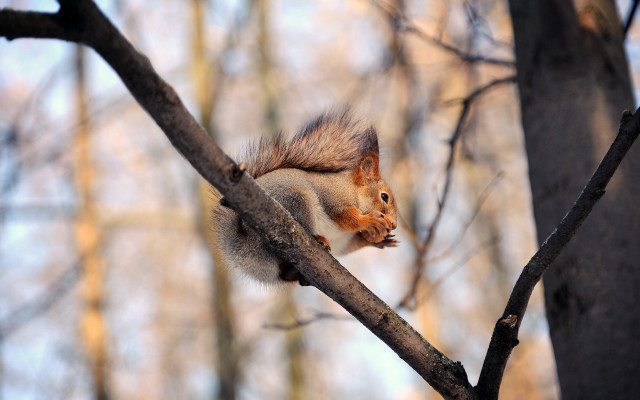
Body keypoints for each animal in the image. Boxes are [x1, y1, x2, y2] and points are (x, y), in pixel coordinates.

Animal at [213, 111, 397, 285]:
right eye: (384, 196)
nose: (394, 225)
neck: (352, 190)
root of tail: (241, 243)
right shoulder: (332, 198)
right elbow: (345, 218)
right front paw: (369, 220)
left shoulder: (343, 240)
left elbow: (351, 244)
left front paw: (379, 241)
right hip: (296, 201)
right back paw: (318, 239)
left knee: (284, 274)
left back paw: (293, 272)